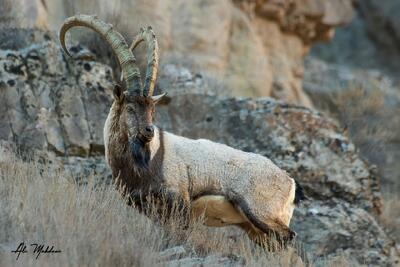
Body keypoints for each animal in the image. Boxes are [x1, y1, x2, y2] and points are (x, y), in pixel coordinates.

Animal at [59, 14, 304, 248]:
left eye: (152, 109)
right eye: (130, 107)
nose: (149, 131)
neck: (145, 160)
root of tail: (289, 181)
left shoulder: (179, 203)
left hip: (261, 214)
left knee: (289, 237)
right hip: (254, 229)